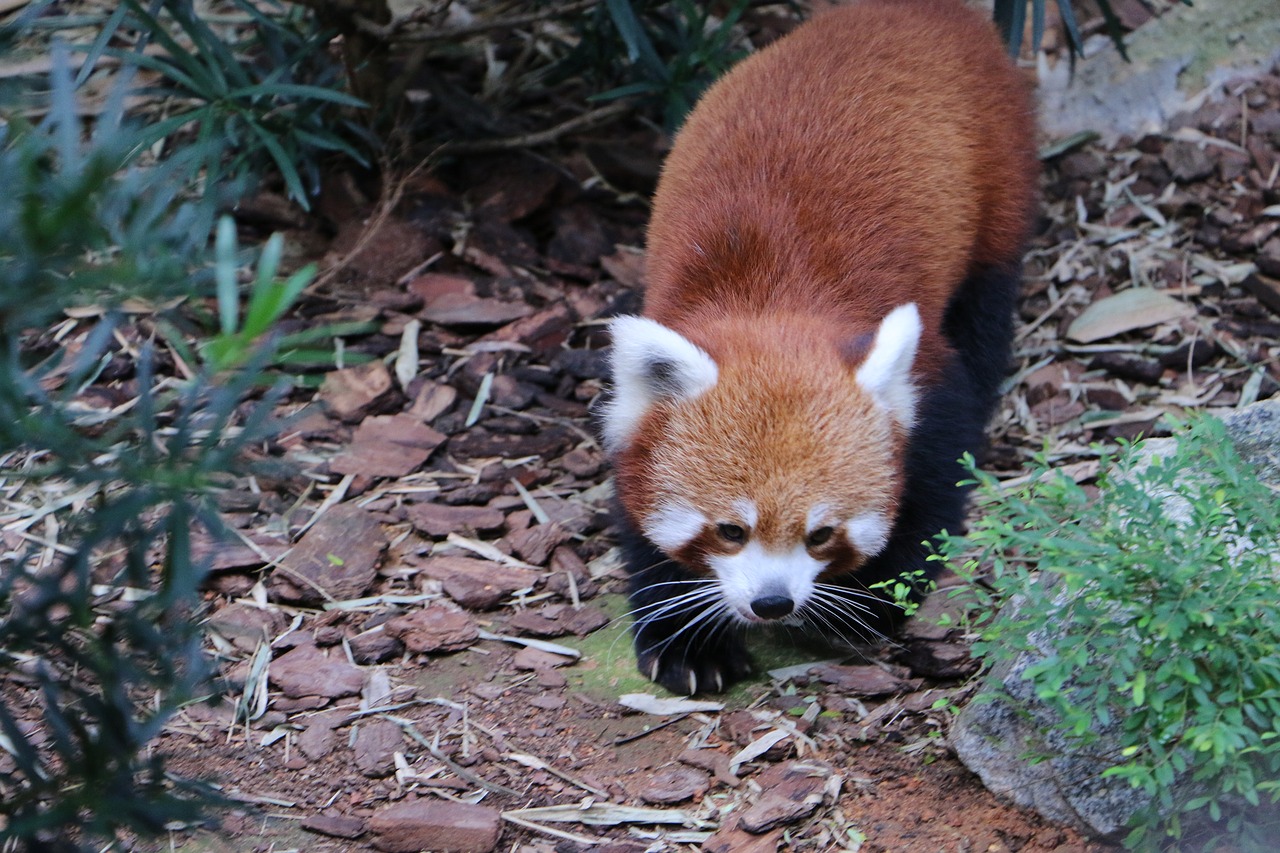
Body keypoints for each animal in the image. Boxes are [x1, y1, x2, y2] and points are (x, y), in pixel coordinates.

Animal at [601, 0, 1039, 691]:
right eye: (730, 531)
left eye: (822, 534)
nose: (772, 603)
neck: (772, 304)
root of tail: (926, 11)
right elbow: (639, 523)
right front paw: (687, 641)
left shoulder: (929, 386)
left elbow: (937, 476)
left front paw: (868, 603)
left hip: (1001, 176)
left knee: (986, 318)